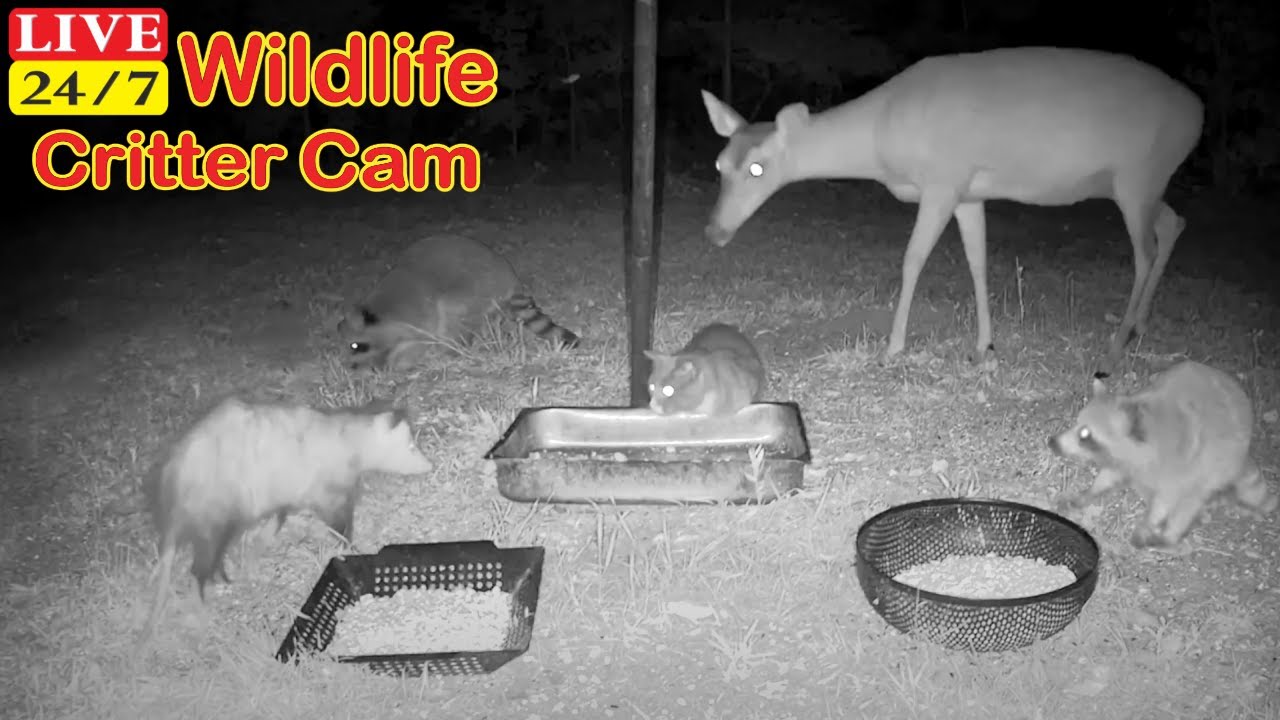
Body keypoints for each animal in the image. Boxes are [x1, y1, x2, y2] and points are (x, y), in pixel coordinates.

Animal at [142, 396, 433, 637]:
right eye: (410, 446)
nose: (429, 466)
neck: (348, 441)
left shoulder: (284, 499)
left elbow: (272, 526)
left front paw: (255, 558)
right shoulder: (329, 498)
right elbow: (340, 528)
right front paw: (352, 549)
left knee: (215, 558)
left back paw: (224, 578)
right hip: (214, 519)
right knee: (199, 568)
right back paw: (202, 604)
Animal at [339, 234, 580, 371]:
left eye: (355, 346)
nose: (350, 368)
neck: (380, 310)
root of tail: (509, 278)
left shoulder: (418, 316)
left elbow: (418, 341)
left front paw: (397, 363)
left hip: (472, 289)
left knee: (454, 317)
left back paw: (450, 350)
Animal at [701, 46, 1204, 375]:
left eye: (758, 168)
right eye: (720, 164)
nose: (715, 231)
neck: (882, 134)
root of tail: (1198, 113)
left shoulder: (943, 179)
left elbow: (913, 259)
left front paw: (893, 347)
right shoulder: (968, 193)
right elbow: (978, 262)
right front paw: (985, 346)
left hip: (1136, 176)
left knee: (1143, 252)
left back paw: (1115, 349)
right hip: (1142, 182)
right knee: (1173, 222)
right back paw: (1138, 327)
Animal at [1047, 361, 1276, 549]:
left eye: (1085, 435)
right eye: (1077, 424)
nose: (1052, 443)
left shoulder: (1180, 465)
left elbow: (1167, 500)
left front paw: (1149, 523)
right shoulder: (1125, 460)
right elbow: (1109, 476)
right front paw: (1088, 492)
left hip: (1217, 462)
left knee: (1192, 499)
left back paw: (1169, 536)